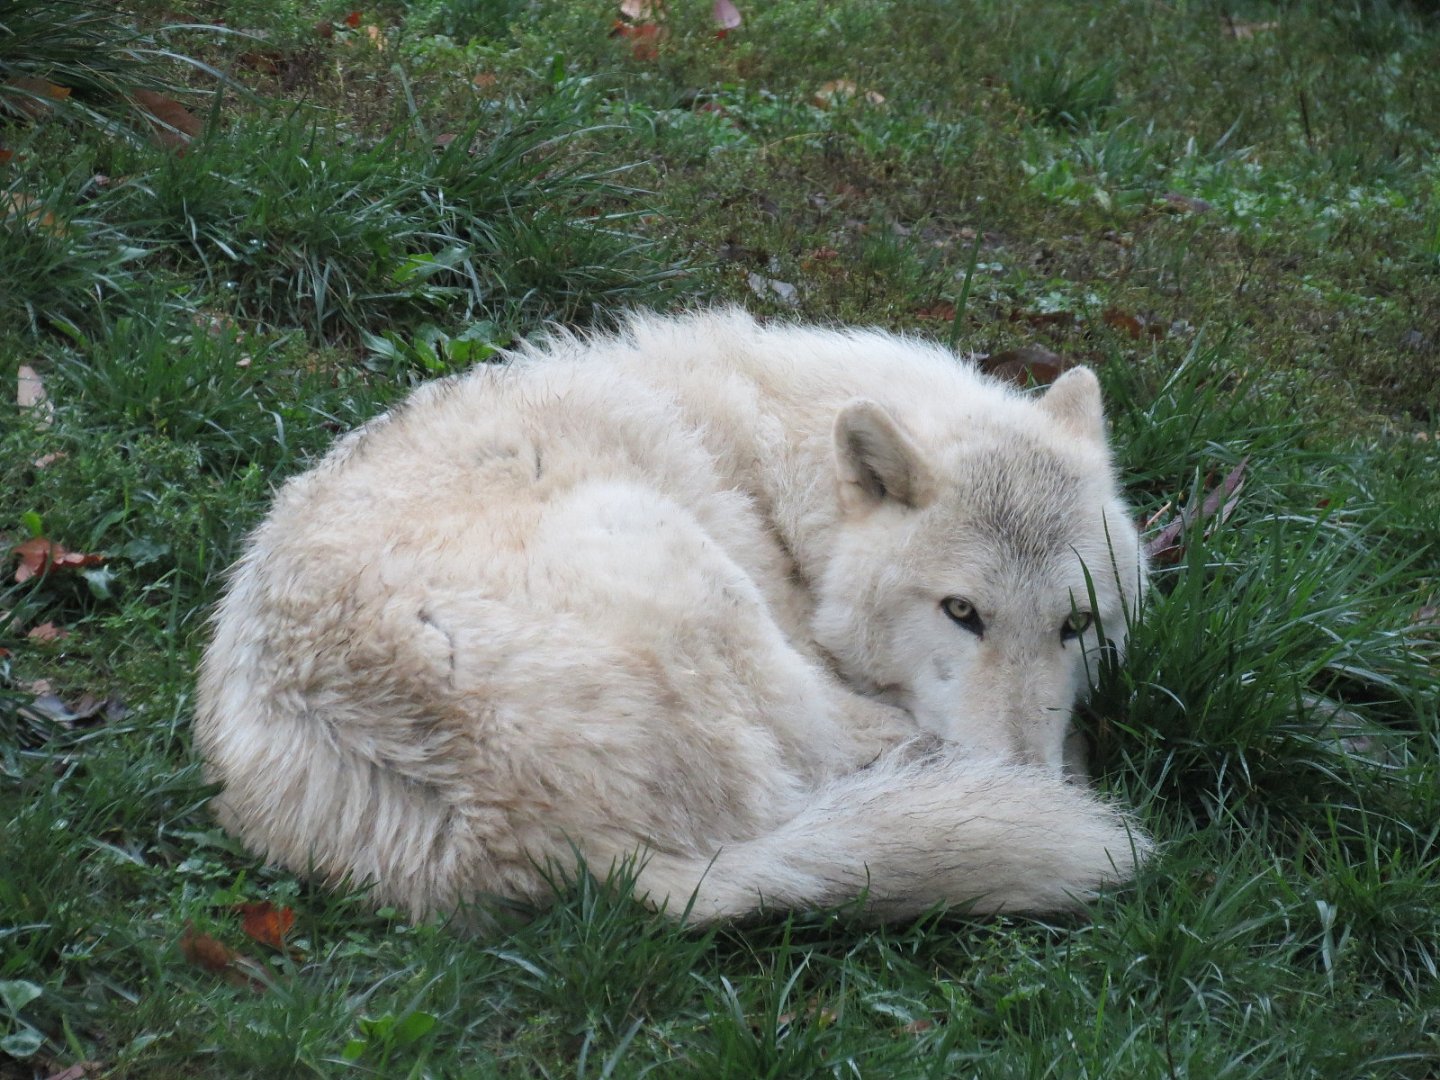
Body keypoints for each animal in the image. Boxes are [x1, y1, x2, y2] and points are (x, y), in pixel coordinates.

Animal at [195, 308, 1150, 926]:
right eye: (962, 612)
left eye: (1077, 625)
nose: (1027, 775)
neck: (776, 480)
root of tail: (561, 845)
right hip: (679, 564)